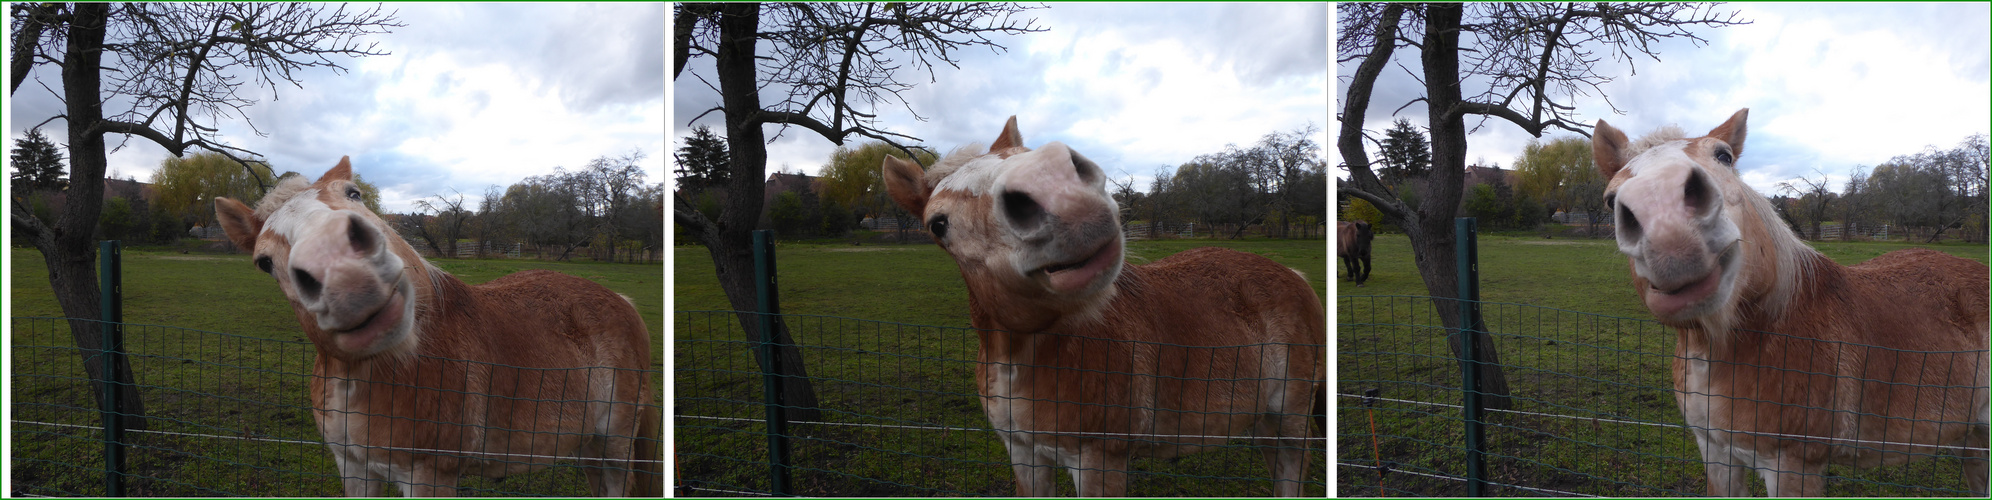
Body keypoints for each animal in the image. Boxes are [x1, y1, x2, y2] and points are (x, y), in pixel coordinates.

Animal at [213, 160, 661, 496]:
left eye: (353, 193)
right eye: (264, 262)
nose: (342, 269)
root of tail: (621, 301)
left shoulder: (430, 476)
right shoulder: (354, 467)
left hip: (616, 450)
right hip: (589, 450)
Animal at [884, 117, 1322, 496]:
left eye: (1024, 153)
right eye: (938, 224)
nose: (1055, 186)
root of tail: (1295, 276)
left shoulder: (1100, 461)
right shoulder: (1024, 454)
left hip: (1290, 425)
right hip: (1263, 424)